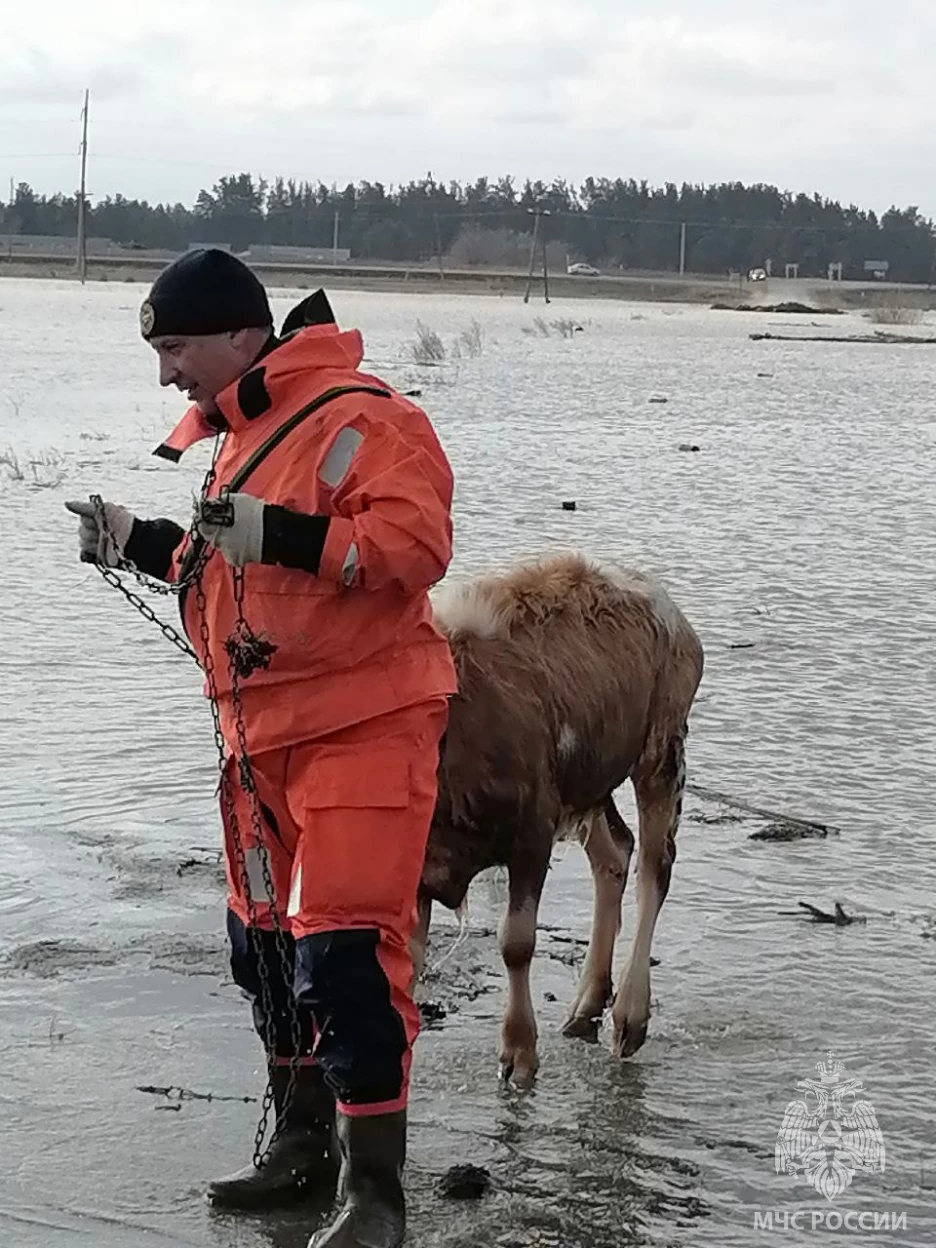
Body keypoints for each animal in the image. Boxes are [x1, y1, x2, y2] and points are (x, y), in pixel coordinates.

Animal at [416, 551, 703, 1088]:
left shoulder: (534, 829)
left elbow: (516, 941)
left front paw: (519, 1052)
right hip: (590, 781)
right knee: (615, 852)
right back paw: (586, 1007)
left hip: (661, 752)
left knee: (654, 869)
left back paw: (629, 1017)